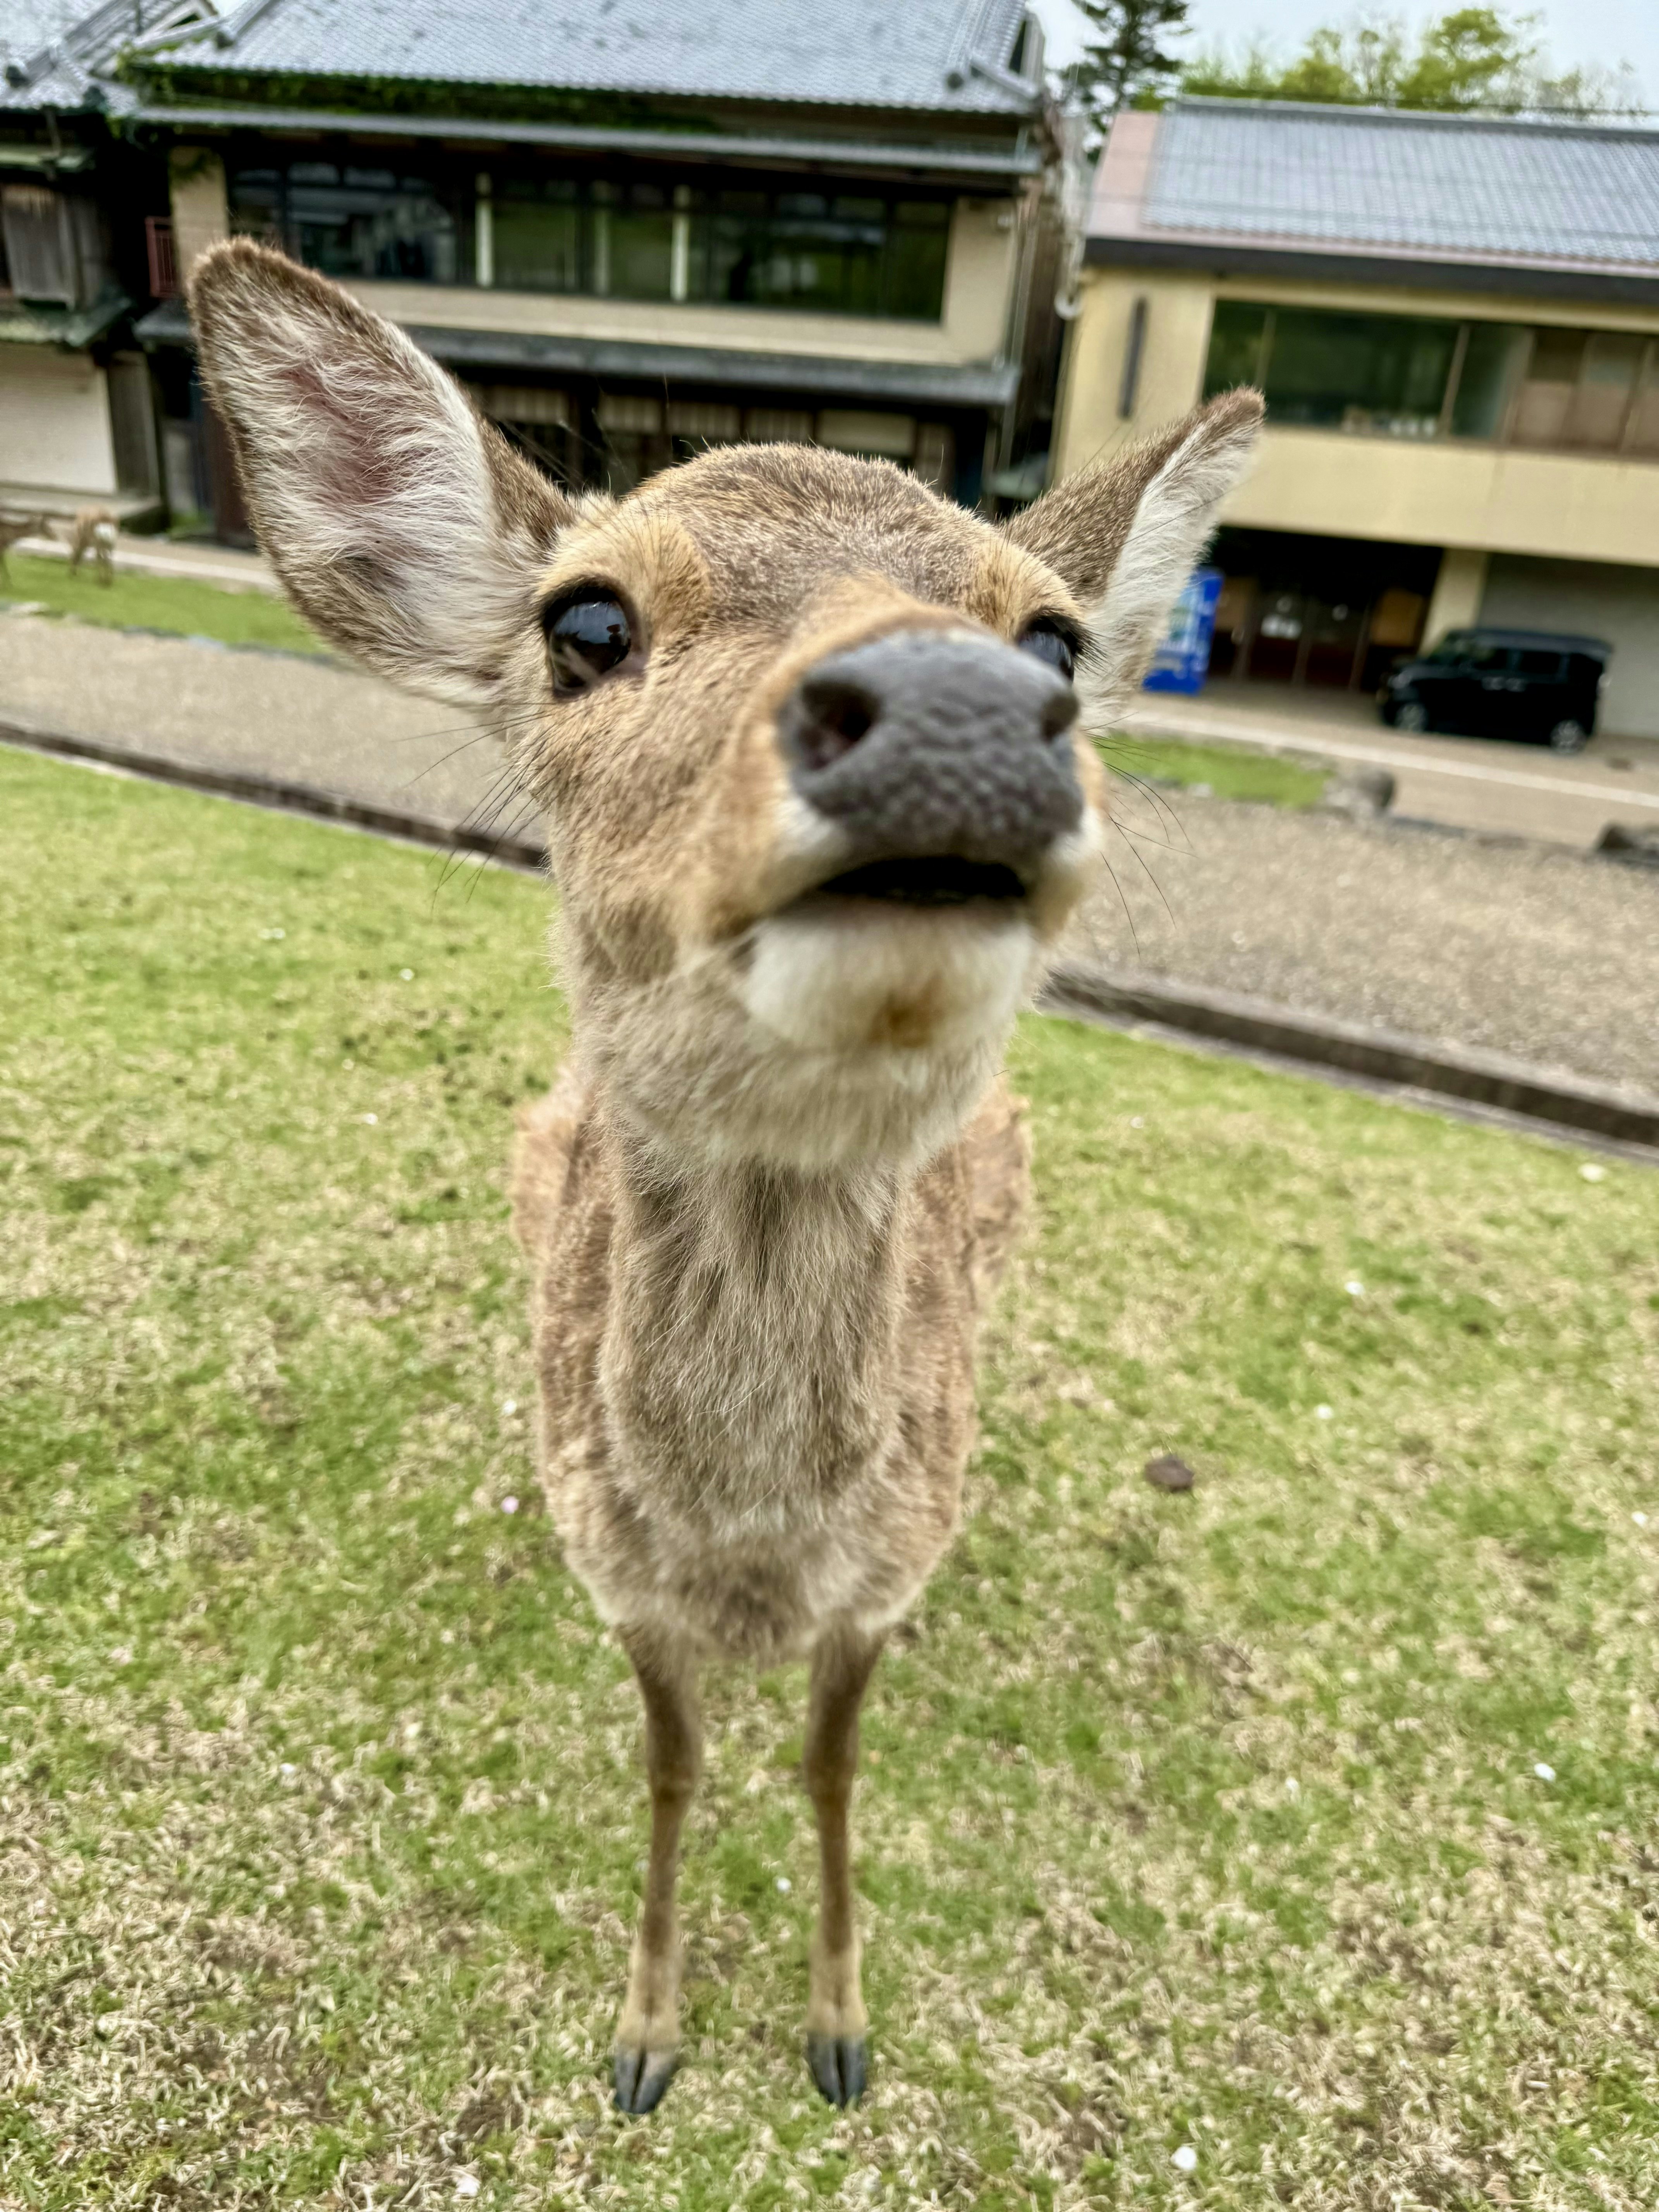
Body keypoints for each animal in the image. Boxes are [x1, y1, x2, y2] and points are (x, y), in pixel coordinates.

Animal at [188, 237, 1261, 2117]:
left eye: (1049, 634)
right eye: (585, 623)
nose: (962, 713)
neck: (753, 1558)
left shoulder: (882, 1578)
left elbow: (831, 1774)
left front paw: (836, 2030)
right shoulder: (620, 1577)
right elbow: (673, 1771)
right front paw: (644, 2037)